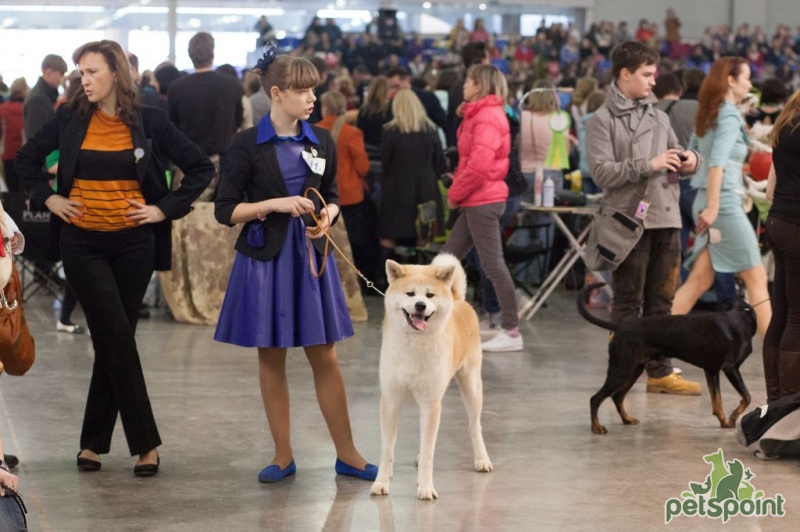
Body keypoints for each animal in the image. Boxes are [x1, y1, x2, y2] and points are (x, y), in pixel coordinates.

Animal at [576, 280, 756, 434]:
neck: (742, 316)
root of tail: (619, 327)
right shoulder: (730, 368)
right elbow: (747, 397)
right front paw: (733, 417)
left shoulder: (711, 371)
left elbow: (717, 401)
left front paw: (725, 422)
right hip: (621, 369)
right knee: (596, 399)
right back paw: (597, 428)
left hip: (634, 369)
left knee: (617, 396)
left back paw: (627, 419)